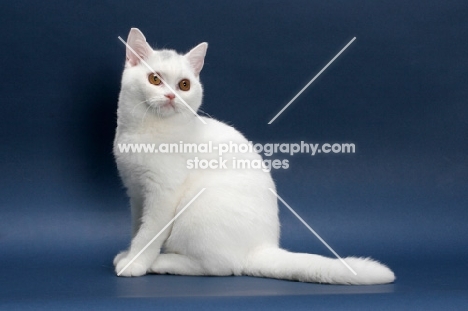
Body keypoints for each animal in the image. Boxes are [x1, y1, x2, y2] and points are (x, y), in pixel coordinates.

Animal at [112, 28, 394, 286]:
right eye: (154, 79)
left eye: (184, 85)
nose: (171, 96)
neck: (147, 131)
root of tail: (262, 247)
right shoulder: (137, 193)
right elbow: (137, 228)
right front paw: (128, 254)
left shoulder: (163, 195)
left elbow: (148, 234)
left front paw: (136, 263)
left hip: (199, 207)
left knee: (220, 267)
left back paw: (161, 262)